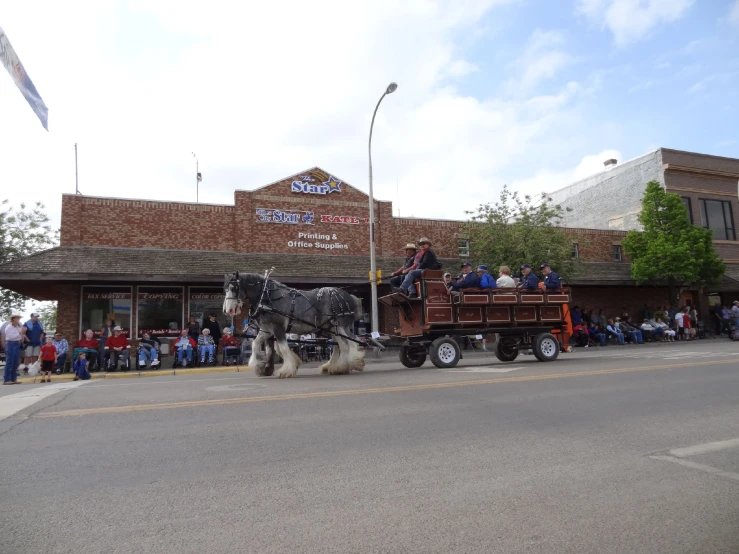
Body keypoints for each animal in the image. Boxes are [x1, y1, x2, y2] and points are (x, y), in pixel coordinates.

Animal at [224, 270, 366, 378]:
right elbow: (256, 344)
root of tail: (348, 296)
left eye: (234, 288)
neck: (266, 297)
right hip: (331, 328)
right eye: (225, 289)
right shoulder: (267, 330)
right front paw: (259, 366)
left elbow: (283, 348)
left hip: (341, 326)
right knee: (339, 345)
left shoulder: (278, 328)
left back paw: (346, 365)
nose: (228, 310)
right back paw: (334, 366)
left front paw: (286, 370)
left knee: (349, 343)